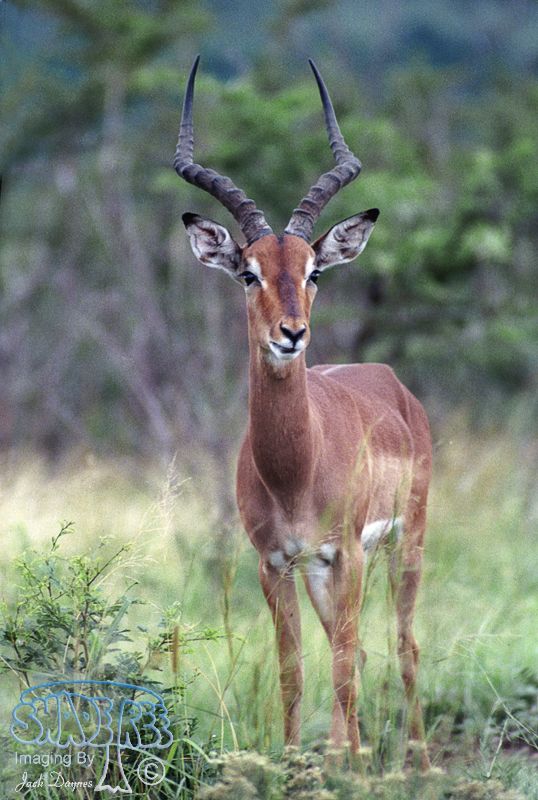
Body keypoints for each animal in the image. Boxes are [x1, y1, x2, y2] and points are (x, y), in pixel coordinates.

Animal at [174, 56, 432, 769]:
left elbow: (342, 666)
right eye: (248, 272)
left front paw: (353, 772)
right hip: (324, 571)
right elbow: (294, 671)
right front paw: (296, 766)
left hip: (404, 543)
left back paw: (416, 763)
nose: (291, 334)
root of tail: (390, 383)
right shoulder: (276, 563)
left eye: (315, 270)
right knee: (361, 650)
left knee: (401, 646)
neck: (296, 467)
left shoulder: (346, 552)